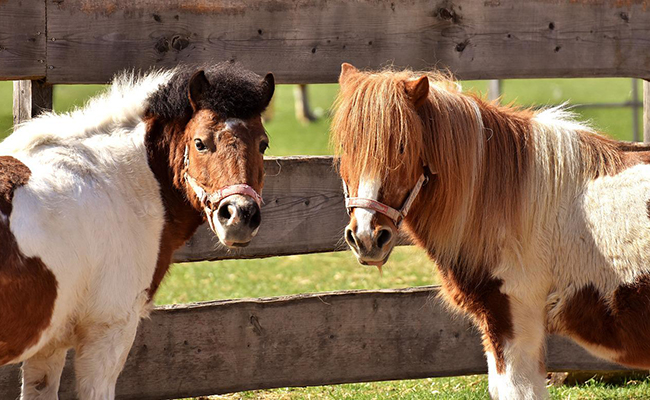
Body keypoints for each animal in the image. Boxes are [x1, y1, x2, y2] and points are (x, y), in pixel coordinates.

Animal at [0, 64, 274, 398]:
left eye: (263, 144)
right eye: (200, 142)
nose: (239, 215)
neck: (113, 181)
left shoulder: (48, 346)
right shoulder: (108, 333)